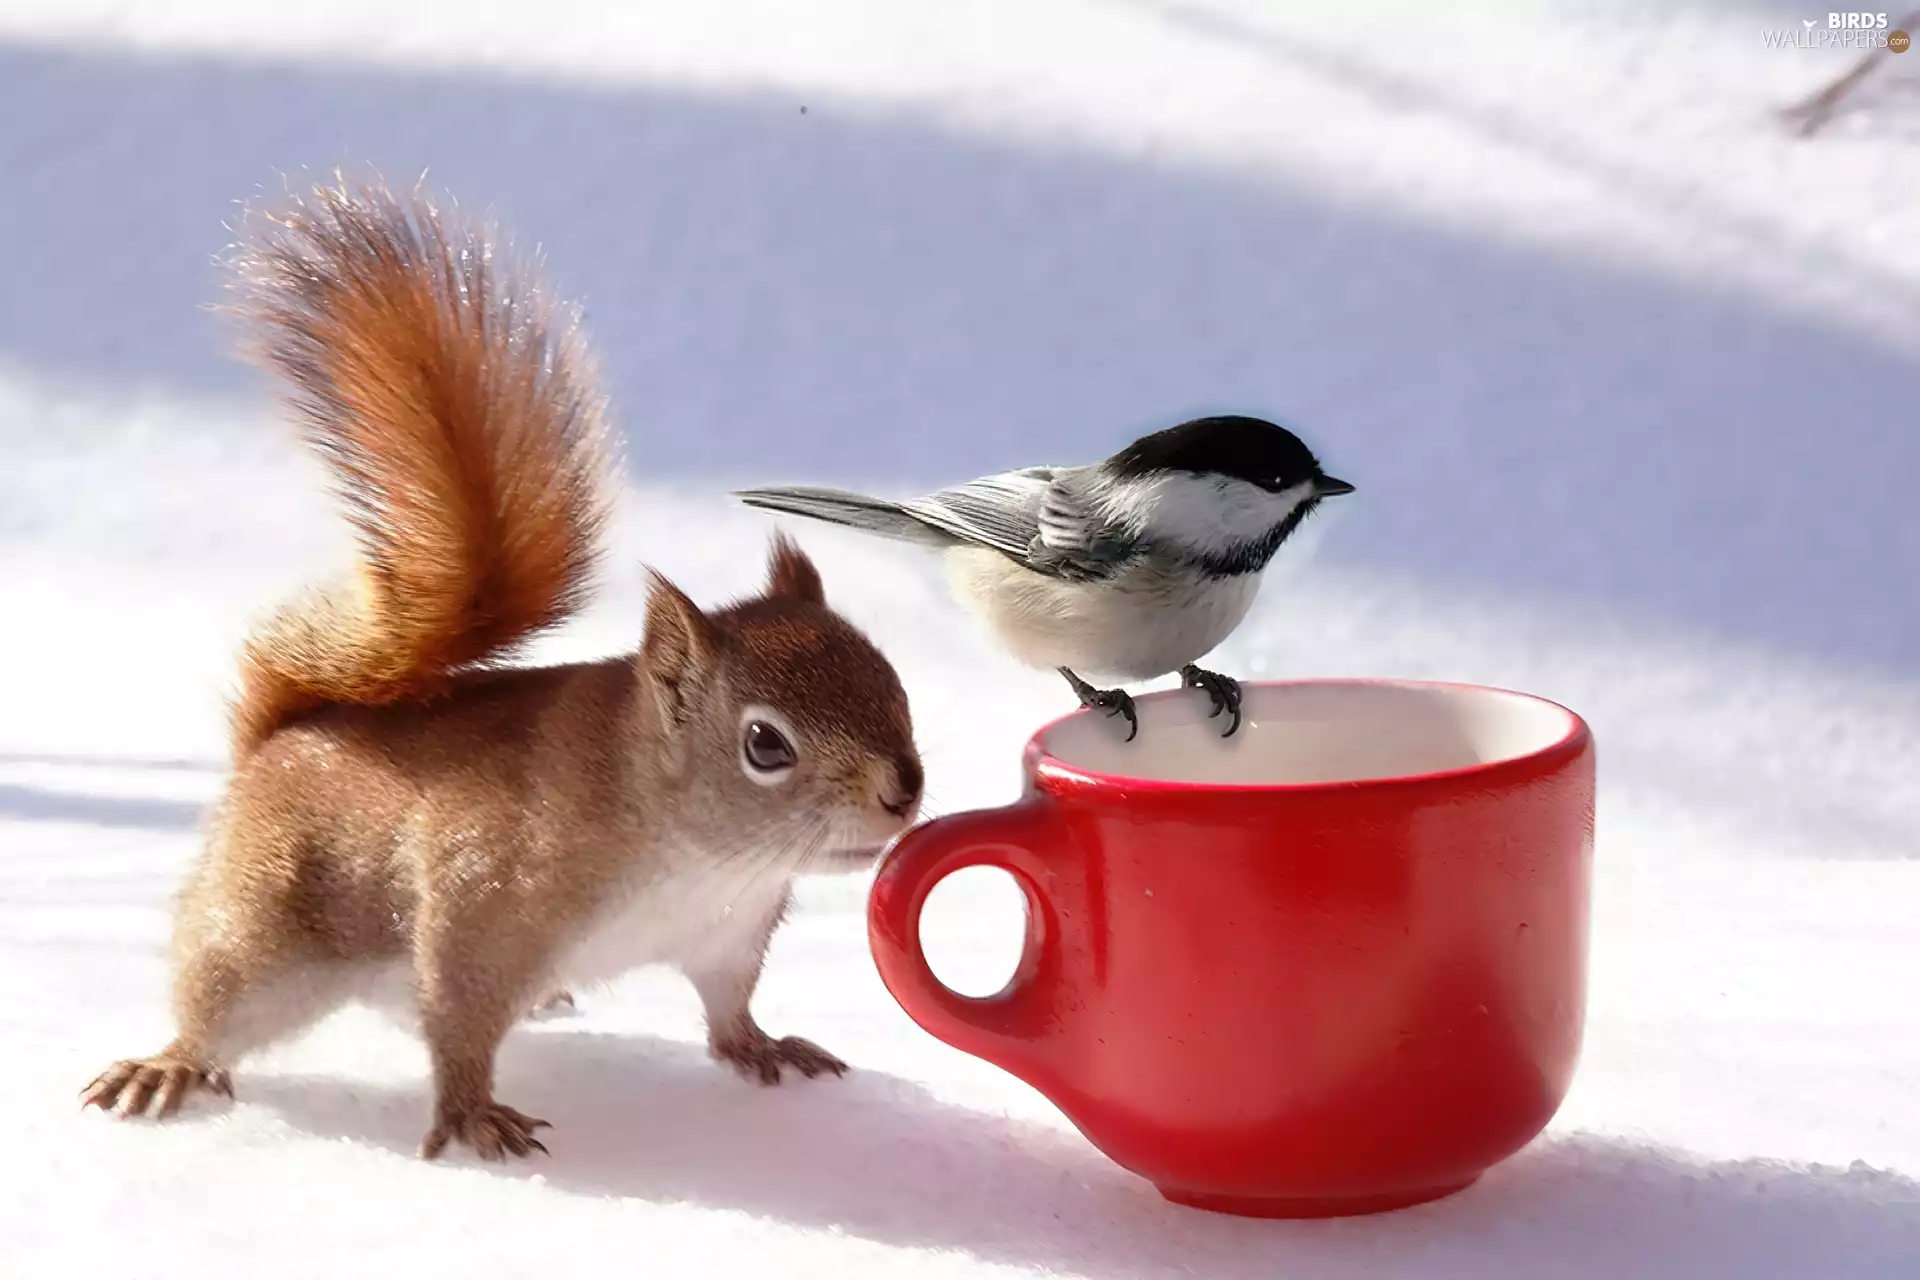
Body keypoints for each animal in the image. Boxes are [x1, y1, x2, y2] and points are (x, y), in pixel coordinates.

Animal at [79, 177, 924, 1162]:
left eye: (893, 684)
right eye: (766, 745)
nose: (902, 792)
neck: (695, 854)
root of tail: (282, 736)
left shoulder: (730, 935)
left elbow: (727, 1011)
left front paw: (763, 1046)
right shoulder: (482, 902)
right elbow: (458, 1020)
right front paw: (472, 1114)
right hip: (258, 927)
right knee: (214, 998)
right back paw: (167, 1065)